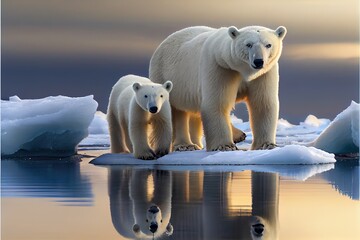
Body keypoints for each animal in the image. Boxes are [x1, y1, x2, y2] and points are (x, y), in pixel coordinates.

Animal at [149, 25, 286, 151]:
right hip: (167, 76)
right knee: (175, 111)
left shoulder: (263, 73)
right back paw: (186, 145)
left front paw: (267, 145)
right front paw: (225, 146)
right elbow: (217, 103)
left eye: (268, 45)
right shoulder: (220, 67)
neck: (242, 69)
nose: (258, 61)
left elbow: (263, 103)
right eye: (248, 44)